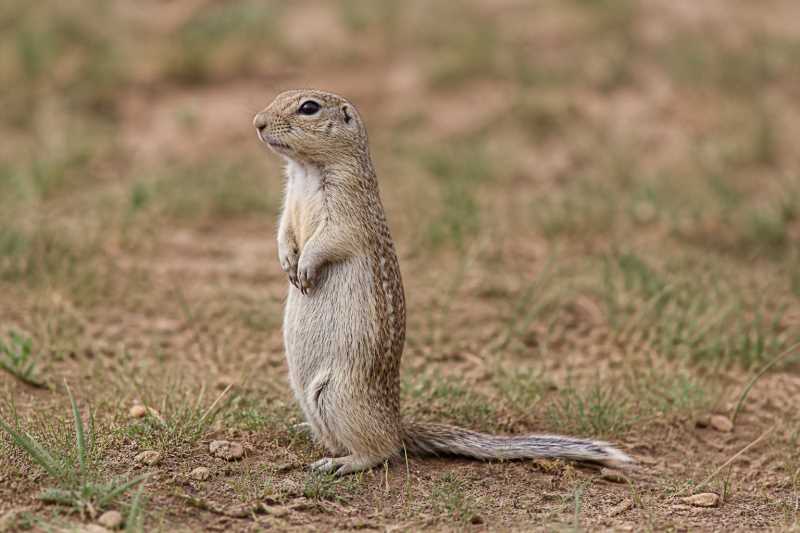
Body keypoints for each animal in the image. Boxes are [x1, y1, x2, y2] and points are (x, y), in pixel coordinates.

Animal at [253, 89, 633, 475]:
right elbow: (284, 230)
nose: (258, 123)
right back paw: (306, 431)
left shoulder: (347, 209)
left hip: (338, 395)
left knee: (381, 451)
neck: (305, 169)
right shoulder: (289, 202)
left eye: (309, 108)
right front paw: (287, 262)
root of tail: (398, 425)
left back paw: (340, 463)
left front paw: (304, 268)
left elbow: (330, 240)